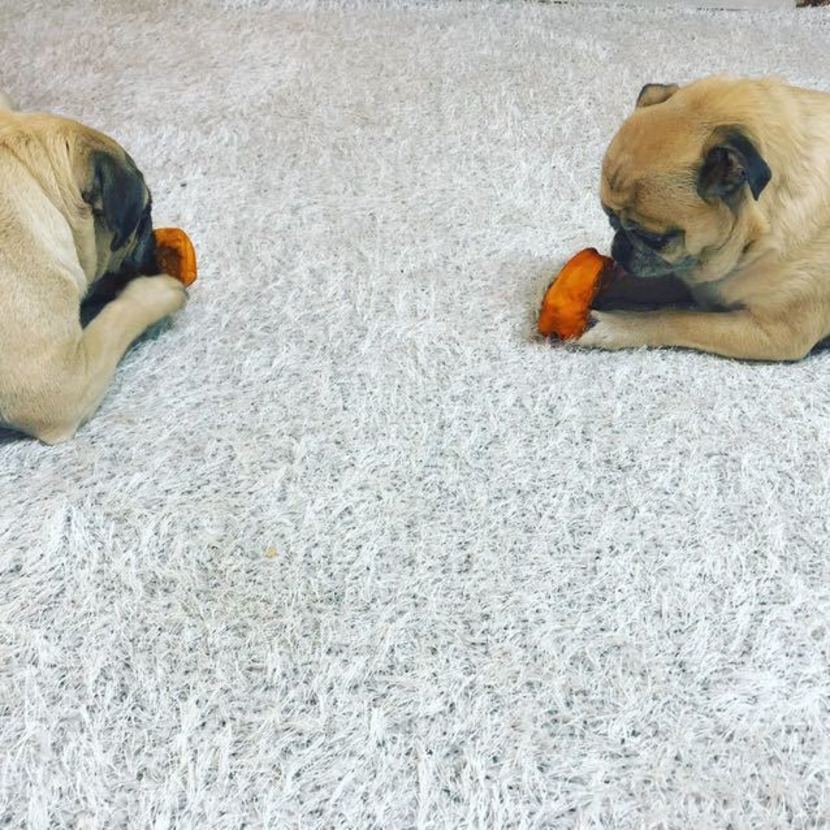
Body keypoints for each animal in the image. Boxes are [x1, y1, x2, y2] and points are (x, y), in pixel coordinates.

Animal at [580, 75, 830, 361]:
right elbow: (642, 282)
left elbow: (675, 318)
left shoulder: (775, 332)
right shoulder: (689, 275)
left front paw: (620, 324)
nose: (618, 247)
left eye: (654, 238)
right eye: (610, 219)